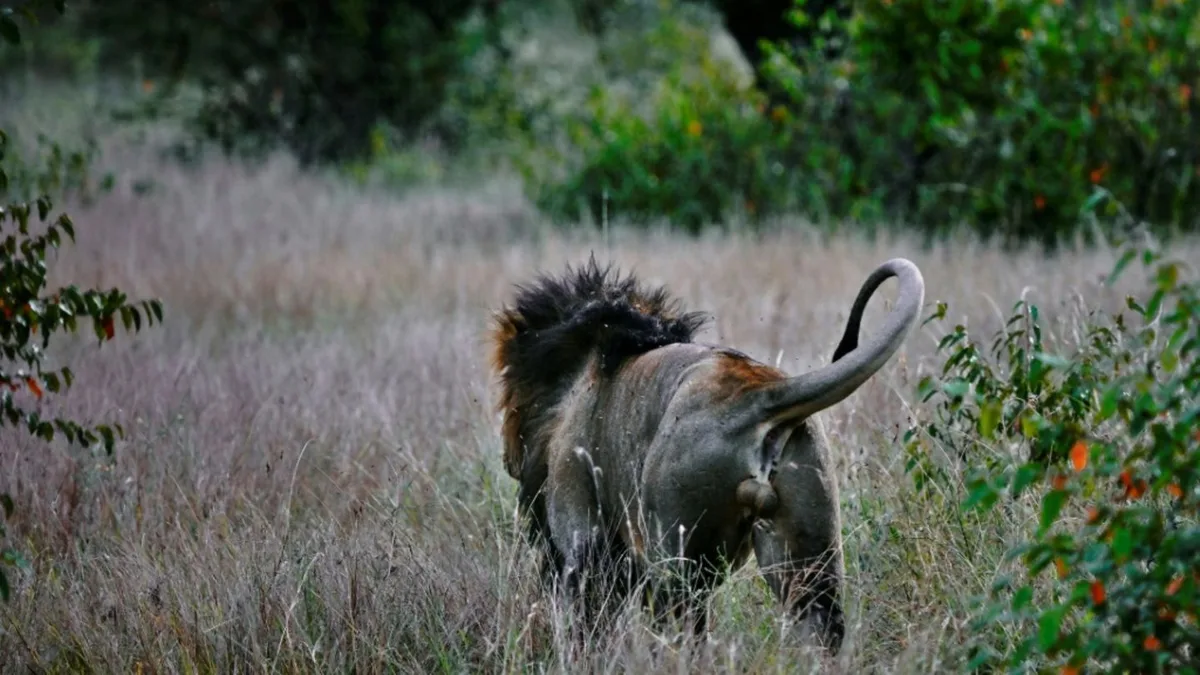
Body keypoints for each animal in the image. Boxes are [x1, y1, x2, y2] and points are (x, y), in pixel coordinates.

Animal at [489, 254, 925, 653]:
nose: (509, 459)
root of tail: (762, 394)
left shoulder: (582, 539)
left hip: (674, 553)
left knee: (683, 632)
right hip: (808, 550)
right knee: (819, 626)